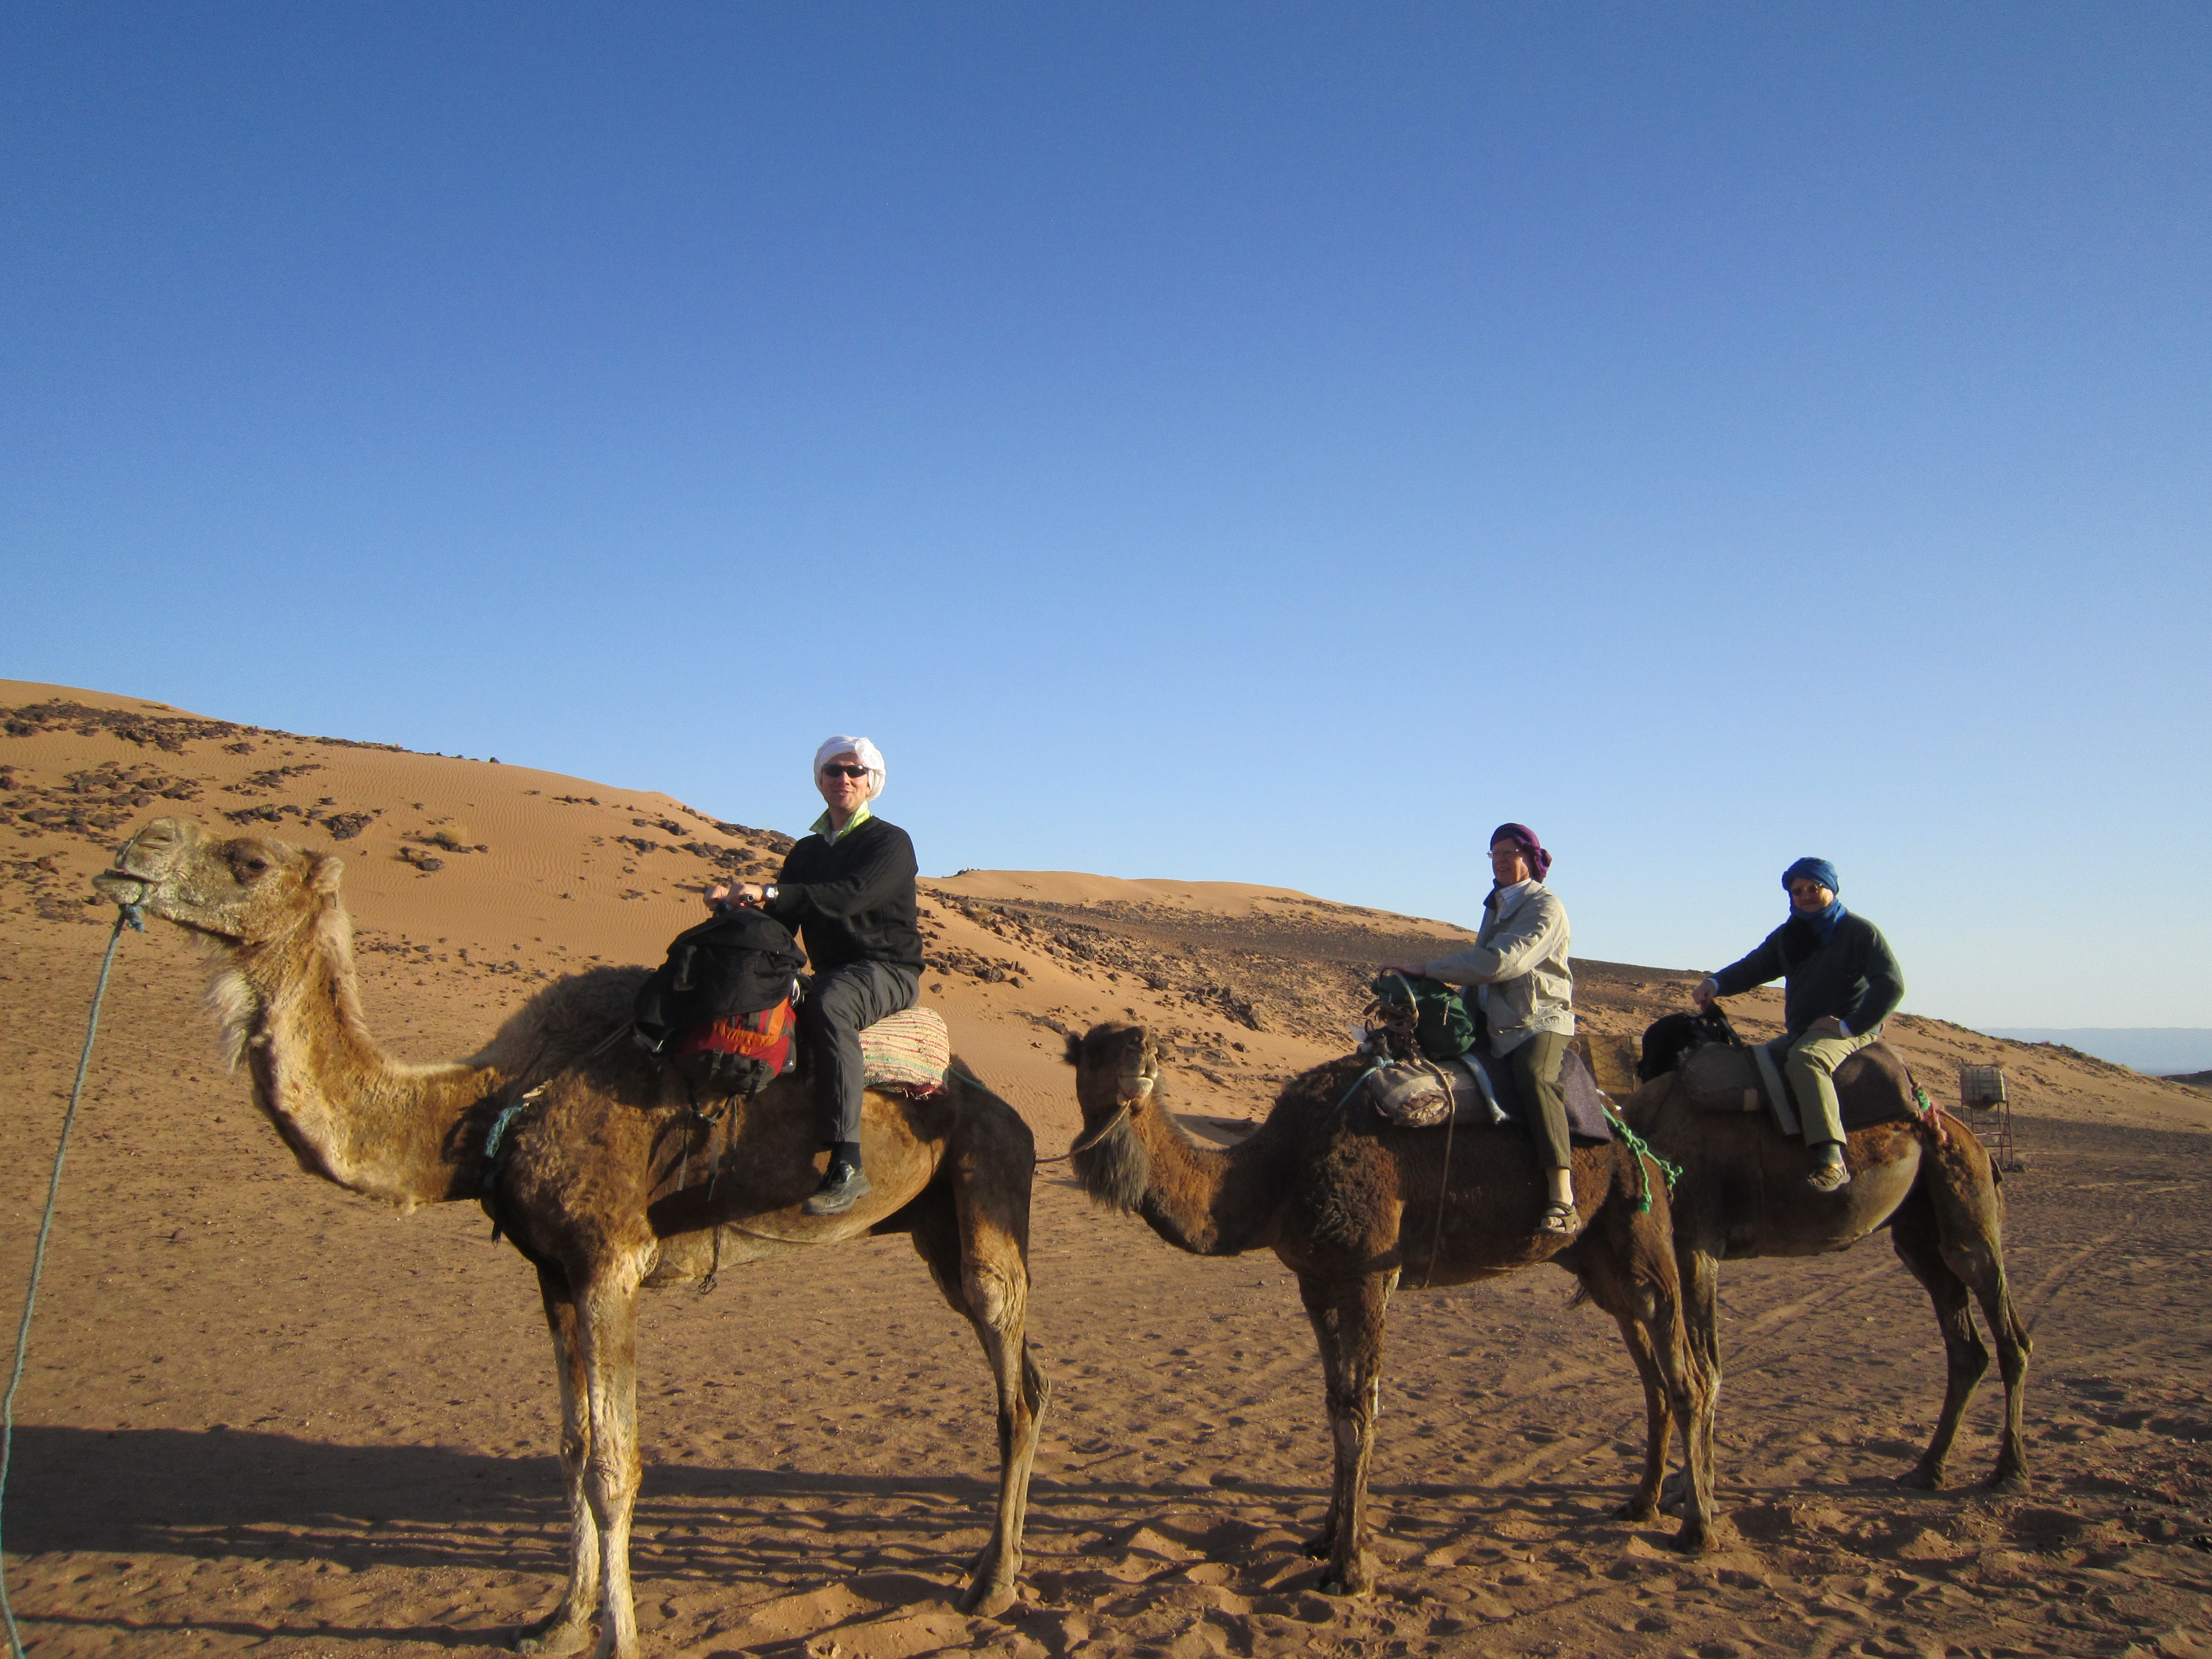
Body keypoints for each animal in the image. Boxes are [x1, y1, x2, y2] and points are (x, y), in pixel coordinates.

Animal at [91, 823, 1048, 1659]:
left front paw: (619, 1639)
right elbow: (573, 1448)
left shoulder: (609, 1263)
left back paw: (994, 1585)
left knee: (1015, 1387)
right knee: (1023, 1376)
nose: (137, 847)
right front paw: (559, 1620)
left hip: (989, 1187)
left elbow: (616, 1466)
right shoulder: (551, 1273)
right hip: (931, 1225)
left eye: (248, 861)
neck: (495, 1108)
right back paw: (983, 1566)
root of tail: (1003, 1104)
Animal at [1061, 1022, 1716, 1601]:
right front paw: (1324, 1539)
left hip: (1642, 1233)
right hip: (1600, 1265)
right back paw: (1642, 1503)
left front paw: (1350, 1570)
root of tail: (1637, 1140)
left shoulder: (1369, 1272)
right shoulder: (1317, 1279)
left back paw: (1698, 1529)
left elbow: (1359, 1413)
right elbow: (1335, 1407)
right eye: (1091, 1051)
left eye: (1140, 1044)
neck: (1280, 1171)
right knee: (1656, 1379)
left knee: (1690, 1377)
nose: (1143, 1048)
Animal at [1619, 1013, 2026, 1504]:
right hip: (1920, 1234)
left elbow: (1707, 1368)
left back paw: (2010, 1471)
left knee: (2008, 1335)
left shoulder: (1697, 1244)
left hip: (1967, 1207)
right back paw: (1927, 1470)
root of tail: (1969, 1136)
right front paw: (1690, 1484)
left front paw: (1695, 1489)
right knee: (1965, 1349)